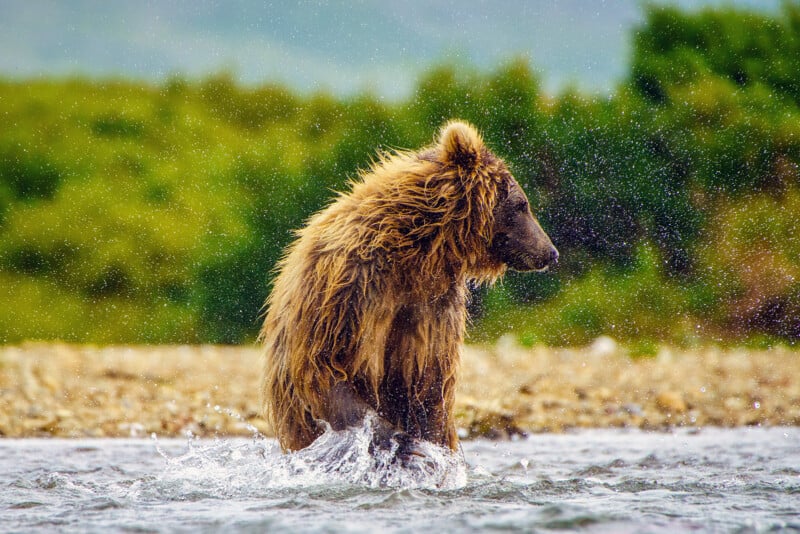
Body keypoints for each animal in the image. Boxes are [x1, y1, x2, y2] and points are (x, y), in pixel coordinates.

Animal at [260, 120, 557, 457]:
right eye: (522, 205)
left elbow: (426, 387)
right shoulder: (349, 290)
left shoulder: (431, 309)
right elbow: (327, 370)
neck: (417, 254)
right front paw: (387, 436)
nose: (550, 252)